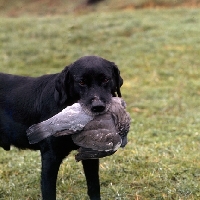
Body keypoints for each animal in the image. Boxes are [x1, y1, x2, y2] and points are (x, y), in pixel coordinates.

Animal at [0, 55, 122, 200]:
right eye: (81, 82)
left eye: (105, 79)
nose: (98, 107)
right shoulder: (50, 157)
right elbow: (49, 192)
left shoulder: (89, 154)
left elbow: (94, 187)